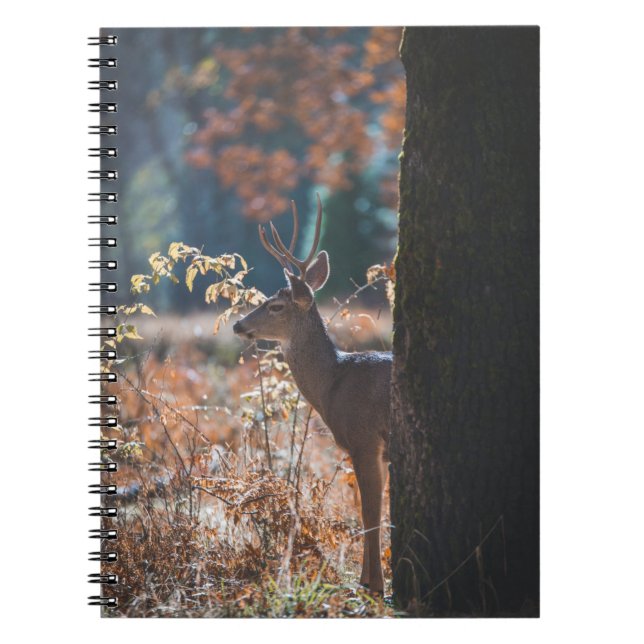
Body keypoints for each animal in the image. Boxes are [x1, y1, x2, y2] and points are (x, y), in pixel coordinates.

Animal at [232, 193, 392, 594]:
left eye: (275, 305)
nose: (238, 324)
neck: (333, 384)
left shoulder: (365, 438)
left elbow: (369, 511)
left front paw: (374, 586)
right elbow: (368, 511)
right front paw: (366, 579)